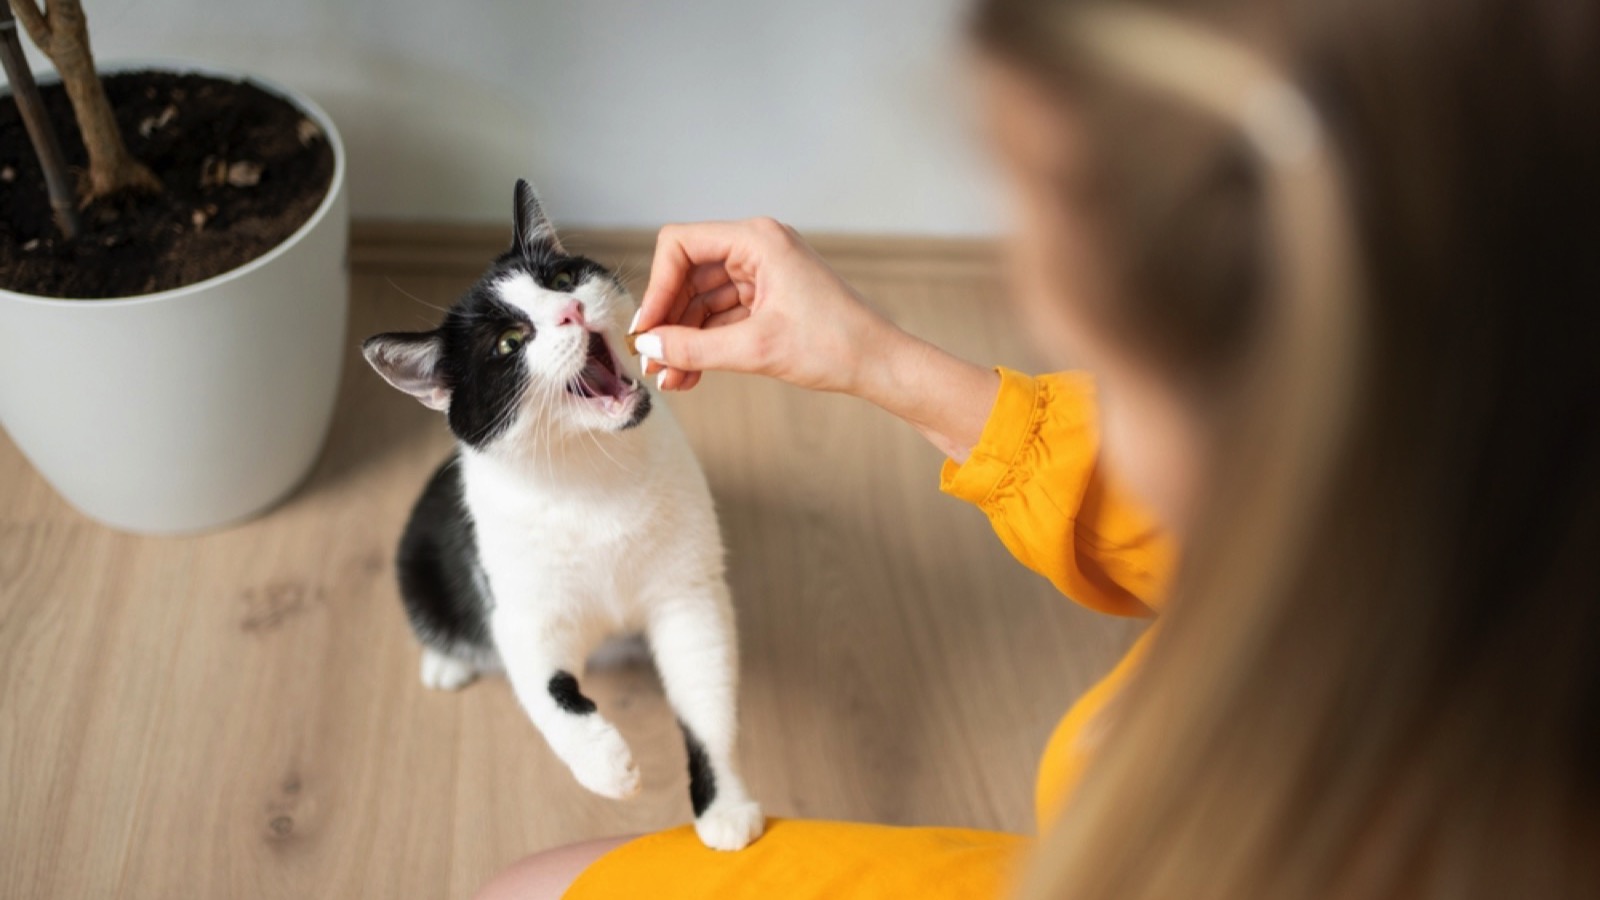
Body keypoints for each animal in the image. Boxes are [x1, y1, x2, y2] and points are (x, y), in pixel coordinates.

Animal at [363, 176, 761, 845]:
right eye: (509, 342)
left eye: (563, 277)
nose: (570, 310)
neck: (591, 476)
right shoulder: (522, 611)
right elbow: (547, 691)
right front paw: (604, 764)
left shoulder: (689, 594)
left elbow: (706, 697)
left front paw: (726, 807)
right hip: (420, 554)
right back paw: (445, 660)